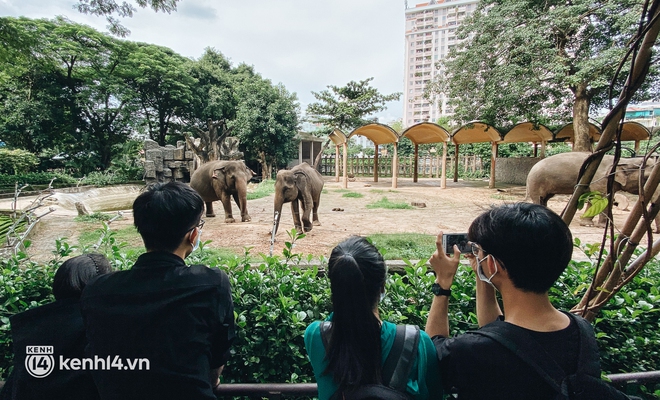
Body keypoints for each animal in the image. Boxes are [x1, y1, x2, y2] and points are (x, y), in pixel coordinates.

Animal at [524, 152, 656, 228]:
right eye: (646, 178)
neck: (625, 160)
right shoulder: (600, 179)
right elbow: (602, 199)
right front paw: (603, 226)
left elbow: (597, 199)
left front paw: (588, 224)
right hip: (536, 182)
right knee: (538, 198)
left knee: (545, 198)